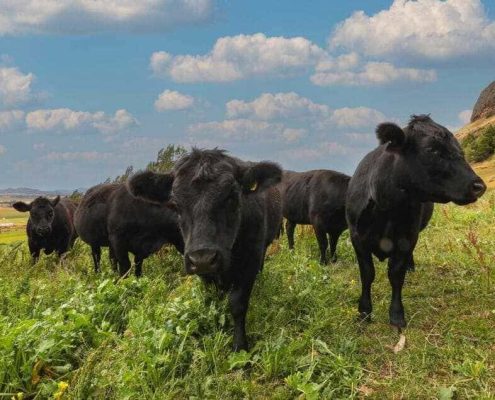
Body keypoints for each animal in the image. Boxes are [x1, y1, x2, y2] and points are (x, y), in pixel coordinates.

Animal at [128, 149, 283, 351]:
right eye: (175, 204)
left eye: (232, 197)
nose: (203, 258)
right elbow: (212, 300)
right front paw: (215, 329)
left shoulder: (250, 261)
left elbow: (238, 304)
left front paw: (239, 345)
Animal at [346, 115, 486, 329]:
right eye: (433, 150)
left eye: (460, 150)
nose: (479, 186)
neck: (387, 208)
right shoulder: (357, 238)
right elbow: (367, 274)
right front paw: (364, 312)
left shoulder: (407, 238)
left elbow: (396, 275)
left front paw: (396, 316)